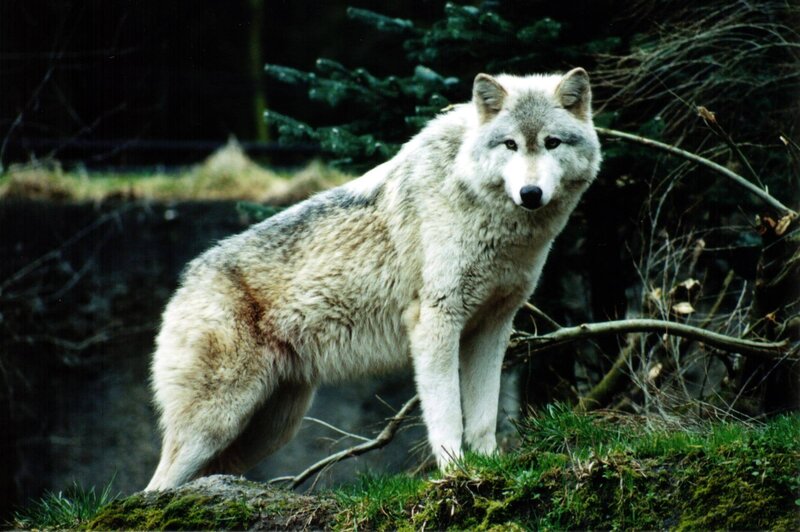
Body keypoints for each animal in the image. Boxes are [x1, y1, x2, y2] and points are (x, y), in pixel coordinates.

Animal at [145, 68, 601, 490]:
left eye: (552, 143)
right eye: (510, 145)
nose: (530, 194)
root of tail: (185, 281)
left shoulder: (492, 328)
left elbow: (484, 416)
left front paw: (491, 468)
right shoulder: (434, 322)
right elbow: (447, 416)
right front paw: (456, 473)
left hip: (268, 429)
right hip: (217, 425)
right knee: (153, 489)